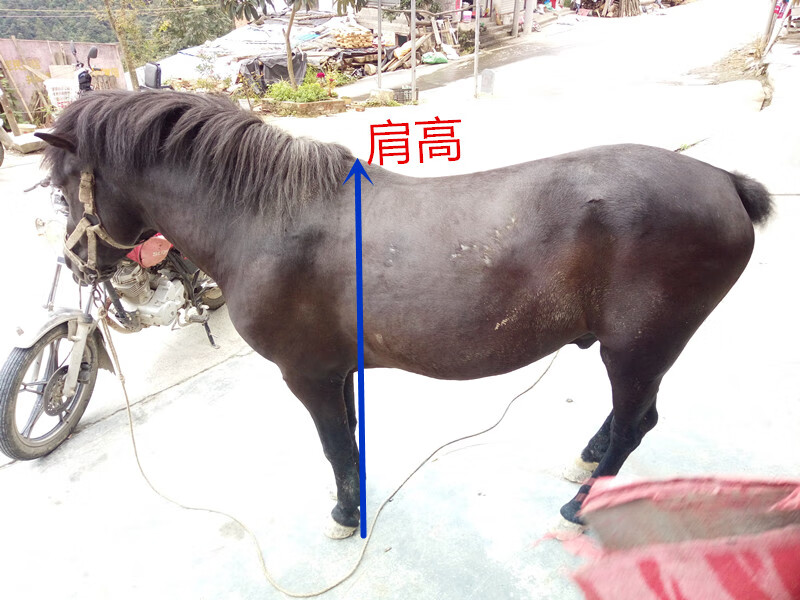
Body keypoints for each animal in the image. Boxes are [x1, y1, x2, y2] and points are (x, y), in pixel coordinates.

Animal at [36, 90, 772, 537]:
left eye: (58, 189)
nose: (77, 268)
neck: (267, 220)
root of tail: (724, 181)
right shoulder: (334, 371)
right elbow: (350, 440)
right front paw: (355, 499)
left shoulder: (306, 374)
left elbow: (334, 445)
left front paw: (343, 513)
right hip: (643, 348)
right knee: (629, 420)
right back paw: (587, 462)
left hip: (640, 345)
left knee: (636, 422)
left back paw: (578, 504)